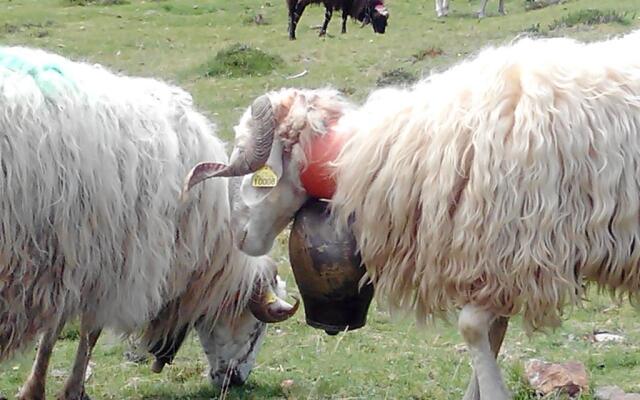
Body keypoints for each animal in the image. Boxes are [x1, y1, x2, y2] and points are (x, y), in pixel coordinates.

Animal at [188, 32, 640, 400]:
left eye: (252, 175)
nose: (238, 236)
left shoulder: (525, 251)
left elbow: (472, 328)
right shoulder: (497, 260)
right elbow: (490, 333)